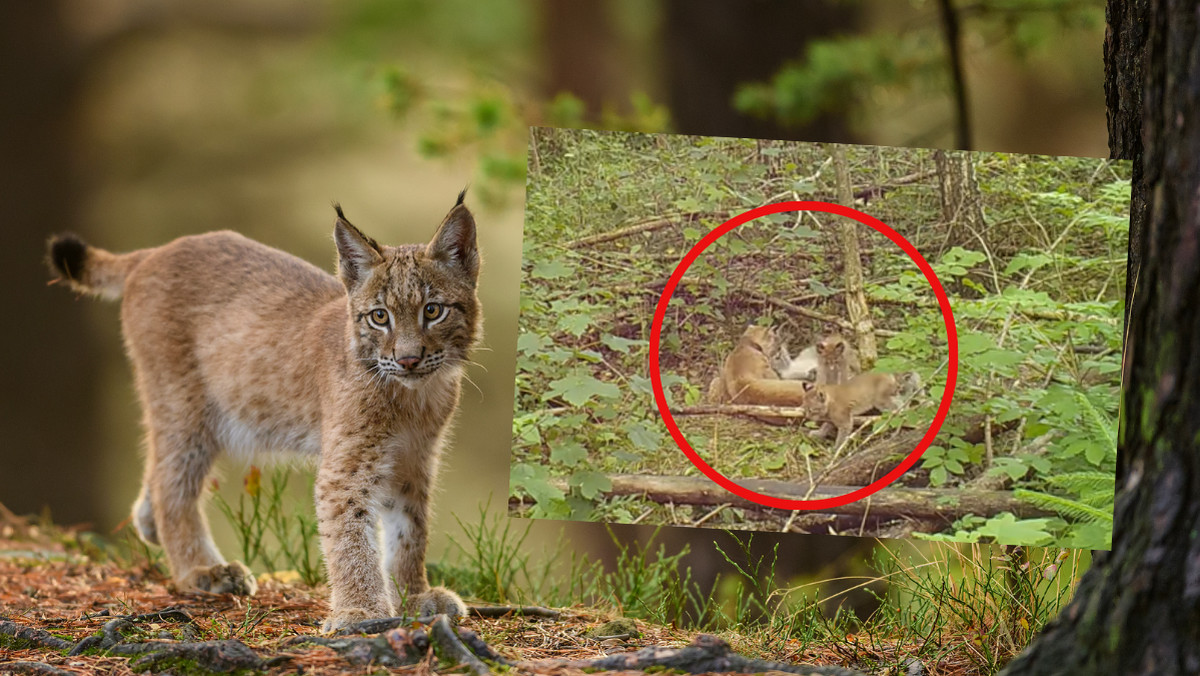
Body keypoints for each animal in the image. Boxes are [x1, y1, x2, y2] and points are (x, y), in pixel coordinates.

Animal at [48, 192, 477, 633]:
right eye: (379, 317)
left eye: (433, 311)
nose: (408, 359)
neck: (413, 396)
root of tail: (159, 250)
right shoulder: (348, 465)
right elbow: (351, 537)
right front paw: (361, 612)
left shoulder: (414, 459)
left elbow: (410, 530)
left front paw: (413, 595)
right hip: (186, 406)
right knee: (173, 484)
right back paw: (201, 570)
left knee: (158, 467)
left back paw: (151, 524)